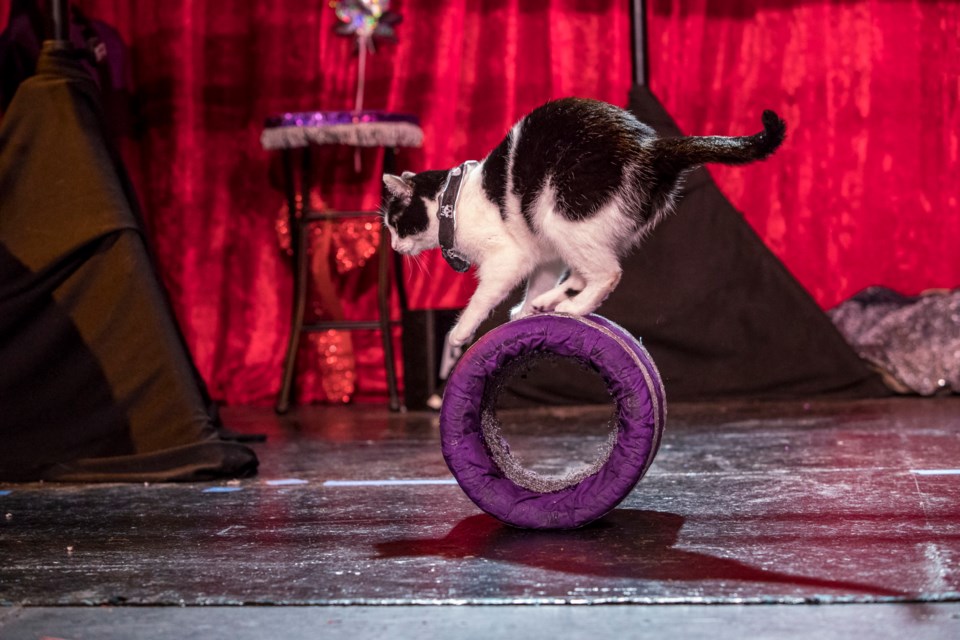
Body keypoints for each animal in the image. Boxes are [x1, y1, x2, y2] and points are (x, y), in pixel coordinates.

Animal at [378, 96, 784, 344]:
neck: (455, 202)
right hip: (567, 227)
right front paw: (528, 309)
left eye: (395, 223)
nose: (395, 247)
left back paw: (576, 307)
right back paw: (550, 303)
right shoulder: (539, 253)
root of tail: (651, 148)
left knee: (608, 273)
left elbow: (483, 296)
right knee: (581, 271)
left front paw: (460, 332)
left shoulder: (508, 257)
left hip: (560, 214)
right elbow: (541, 279)